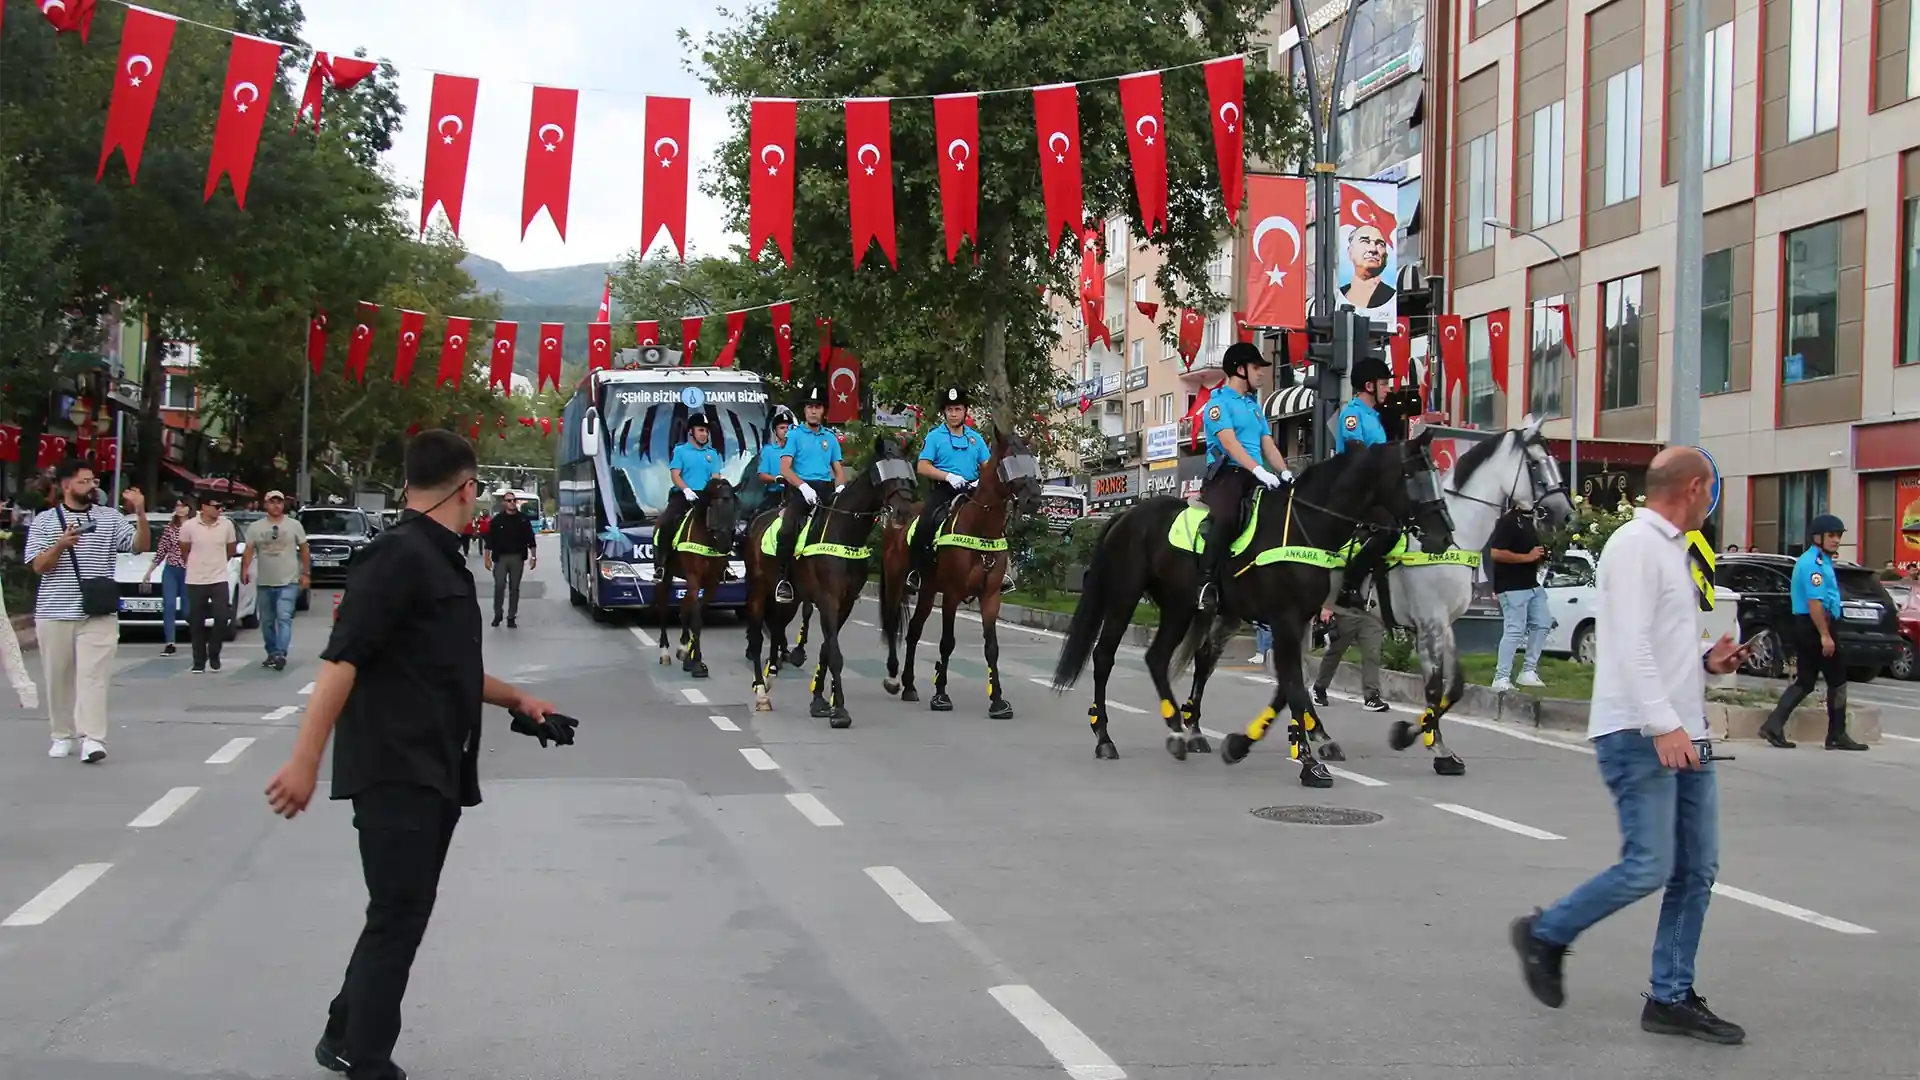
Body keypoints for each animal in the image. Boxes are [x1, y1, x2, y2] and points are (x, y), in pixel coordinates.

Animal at [645, 476, 733, 672]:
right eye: (713, 508)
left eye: (736, 508)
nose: (725, 544)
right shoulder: (694, 577)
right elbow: (696, 619)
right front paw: (697, 662)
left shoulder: (711, 582)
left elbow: (696, 613)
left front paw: (689, 655)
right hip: (666, 575)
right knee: (664, 607)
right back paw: (664, 652)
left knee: (685, 606)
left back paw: (683, 647)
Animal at [879, 426, 1044, 714]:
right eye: (1009, 463)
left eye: (1031, 462)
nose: (1033, 499)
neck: (981, 529)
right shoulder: (952, 595)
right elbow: (947, 643)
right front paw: (941, 695)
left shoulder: (990, 596)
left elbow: (992, 647)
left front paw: (997, 700)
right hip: (897, 583)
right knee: (893, 625)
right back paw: (894, 679)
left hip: (928, 591)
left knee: (914, 631)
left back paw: (909, 686)